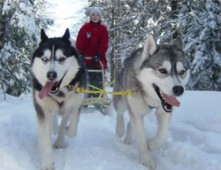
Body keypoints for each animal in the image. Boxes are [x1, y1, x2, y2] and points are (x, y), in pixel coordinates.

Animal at [30, 28, 87, 169]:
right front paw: (47, 164)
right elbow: (45, 139)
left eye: (61, 58)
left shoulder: (74, 106)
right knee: (53, 120)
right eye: (44, 59)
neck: (59, 93)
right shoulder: (42, 110)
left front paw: (62, 138)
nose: (51, 74)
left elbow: (72, 130)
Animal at [113, 33, 191, 169]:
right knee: (120, 113)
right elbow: (141, 138)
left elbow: (162, 136)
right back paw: (120, 130)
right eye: (162, 70)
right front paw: (147, 160)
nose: (179, 89)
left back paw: (128, 138)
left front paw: (151, 144)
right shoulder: (136, 113)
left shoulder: (164, 112)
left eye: (182, 72)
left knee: (130, 123)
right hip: (122, 102)